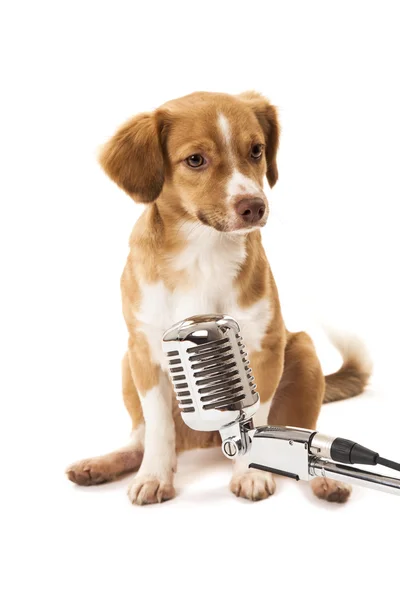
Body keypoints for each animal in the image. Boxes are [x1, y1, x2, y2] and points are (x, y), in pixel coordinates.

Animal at [66, 91, 372, 504]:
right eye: (196, 160)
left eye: (257, 150)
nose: (254, 206)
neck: (202, 250)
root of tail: (204, 440)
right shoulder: (145, 352)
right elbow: (158, 427)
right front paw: (154, 476)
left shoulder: (261, 347)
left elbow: (255, 422)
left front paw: (251, 473)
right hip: (126, 366)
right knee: (141, 438)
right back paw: (105, 463)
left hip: (305, 352)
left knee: (302, 437)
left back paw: (326, 480)